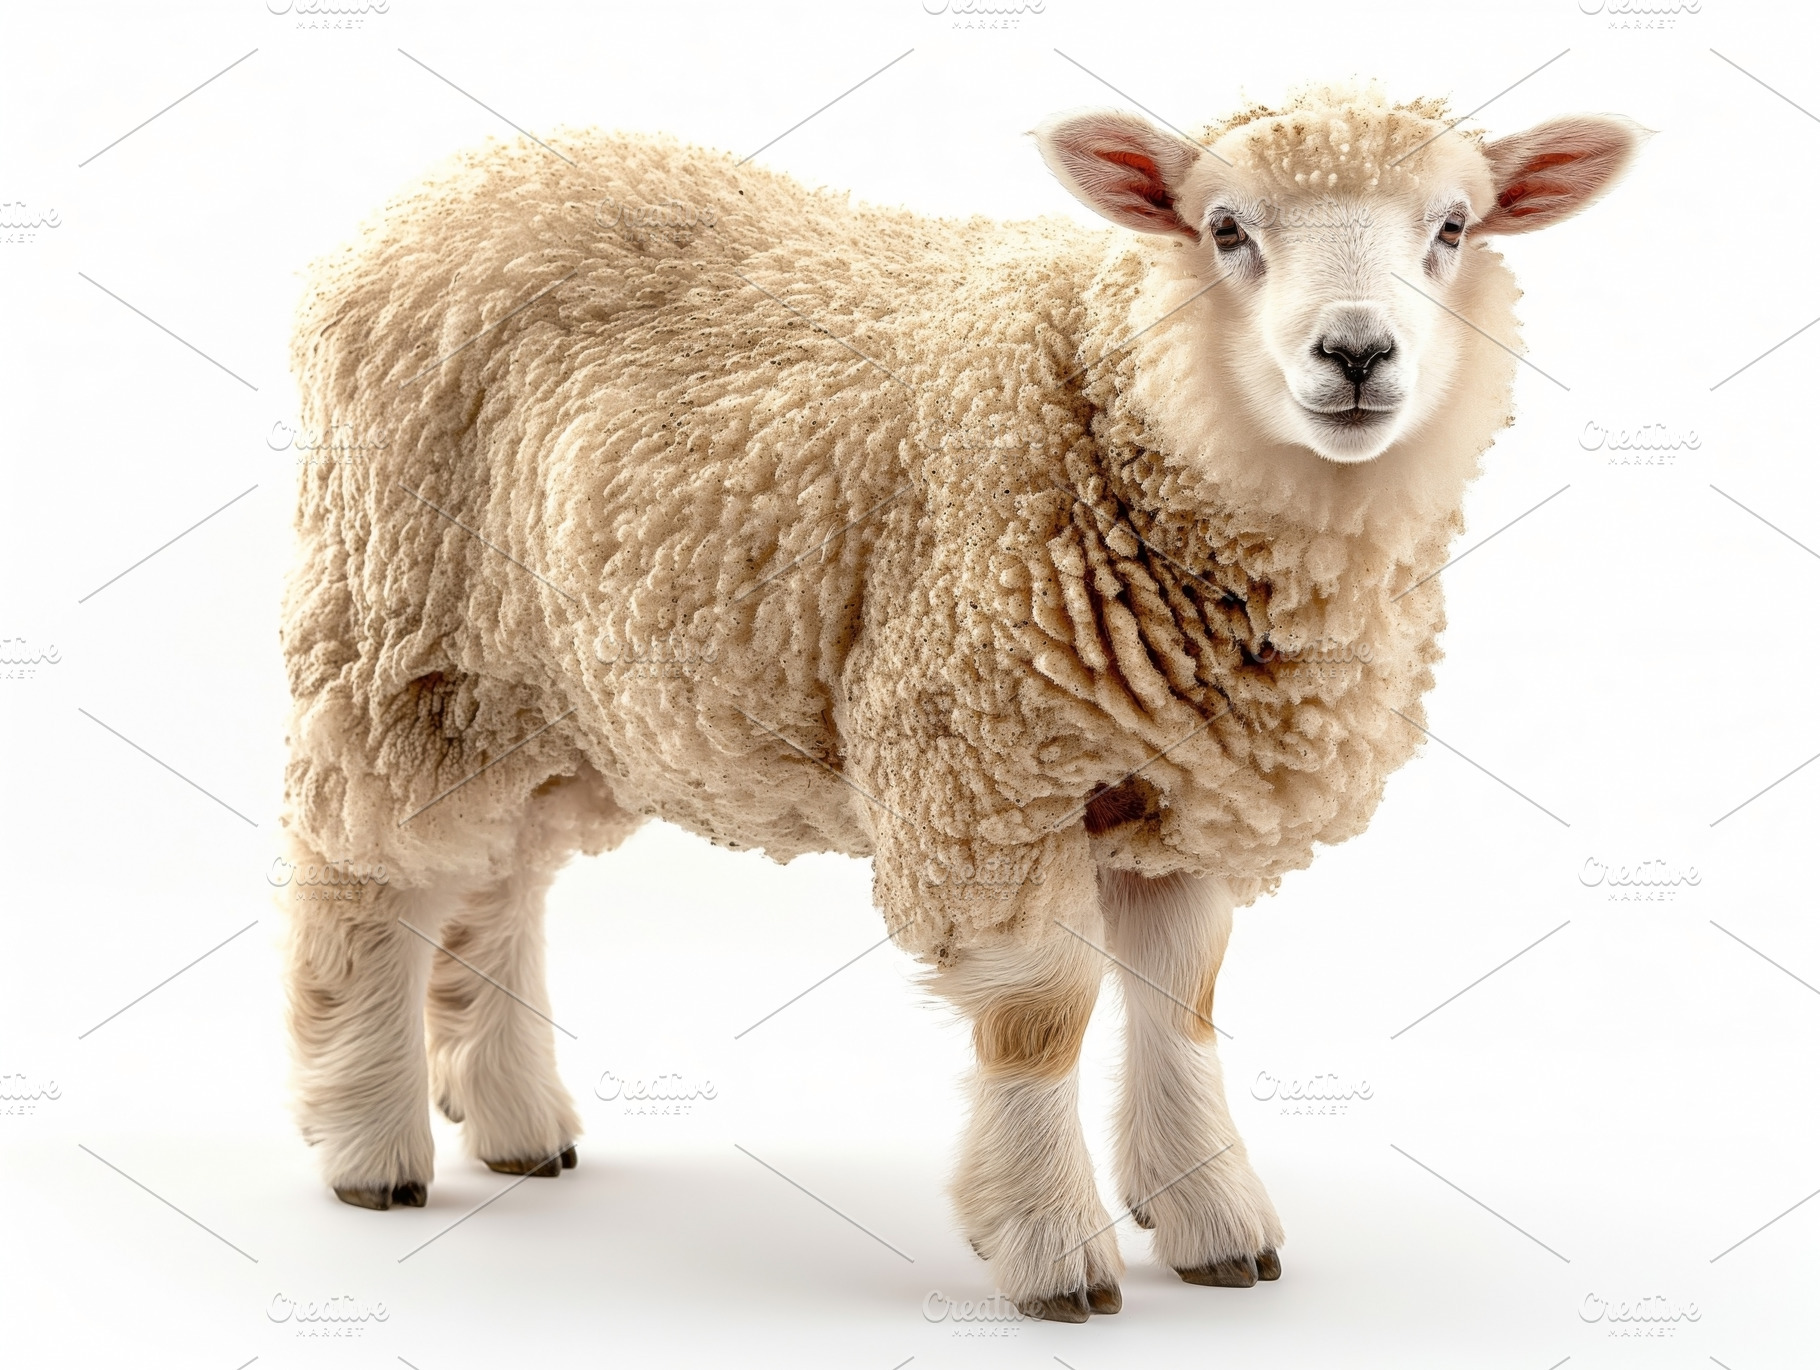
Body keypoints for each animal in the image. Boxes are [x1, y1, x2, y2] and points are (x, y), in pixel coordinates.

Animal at [278, 82, 1643, 1320]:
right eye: (1223, 227)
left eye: (1452, 226)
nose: (1355, 354)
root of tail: (460, 181)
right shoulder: (982, 767)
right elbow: (1044, 1015)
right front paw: (1052, 1249)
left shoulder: (1178, 787)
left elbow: (1183, 998)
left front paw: (1211, 1220)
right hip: (398, 634)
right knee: (371, 878)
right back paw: (371, 1143)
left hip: (559, 692)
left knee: (500, 878)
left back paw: (514, 1118)